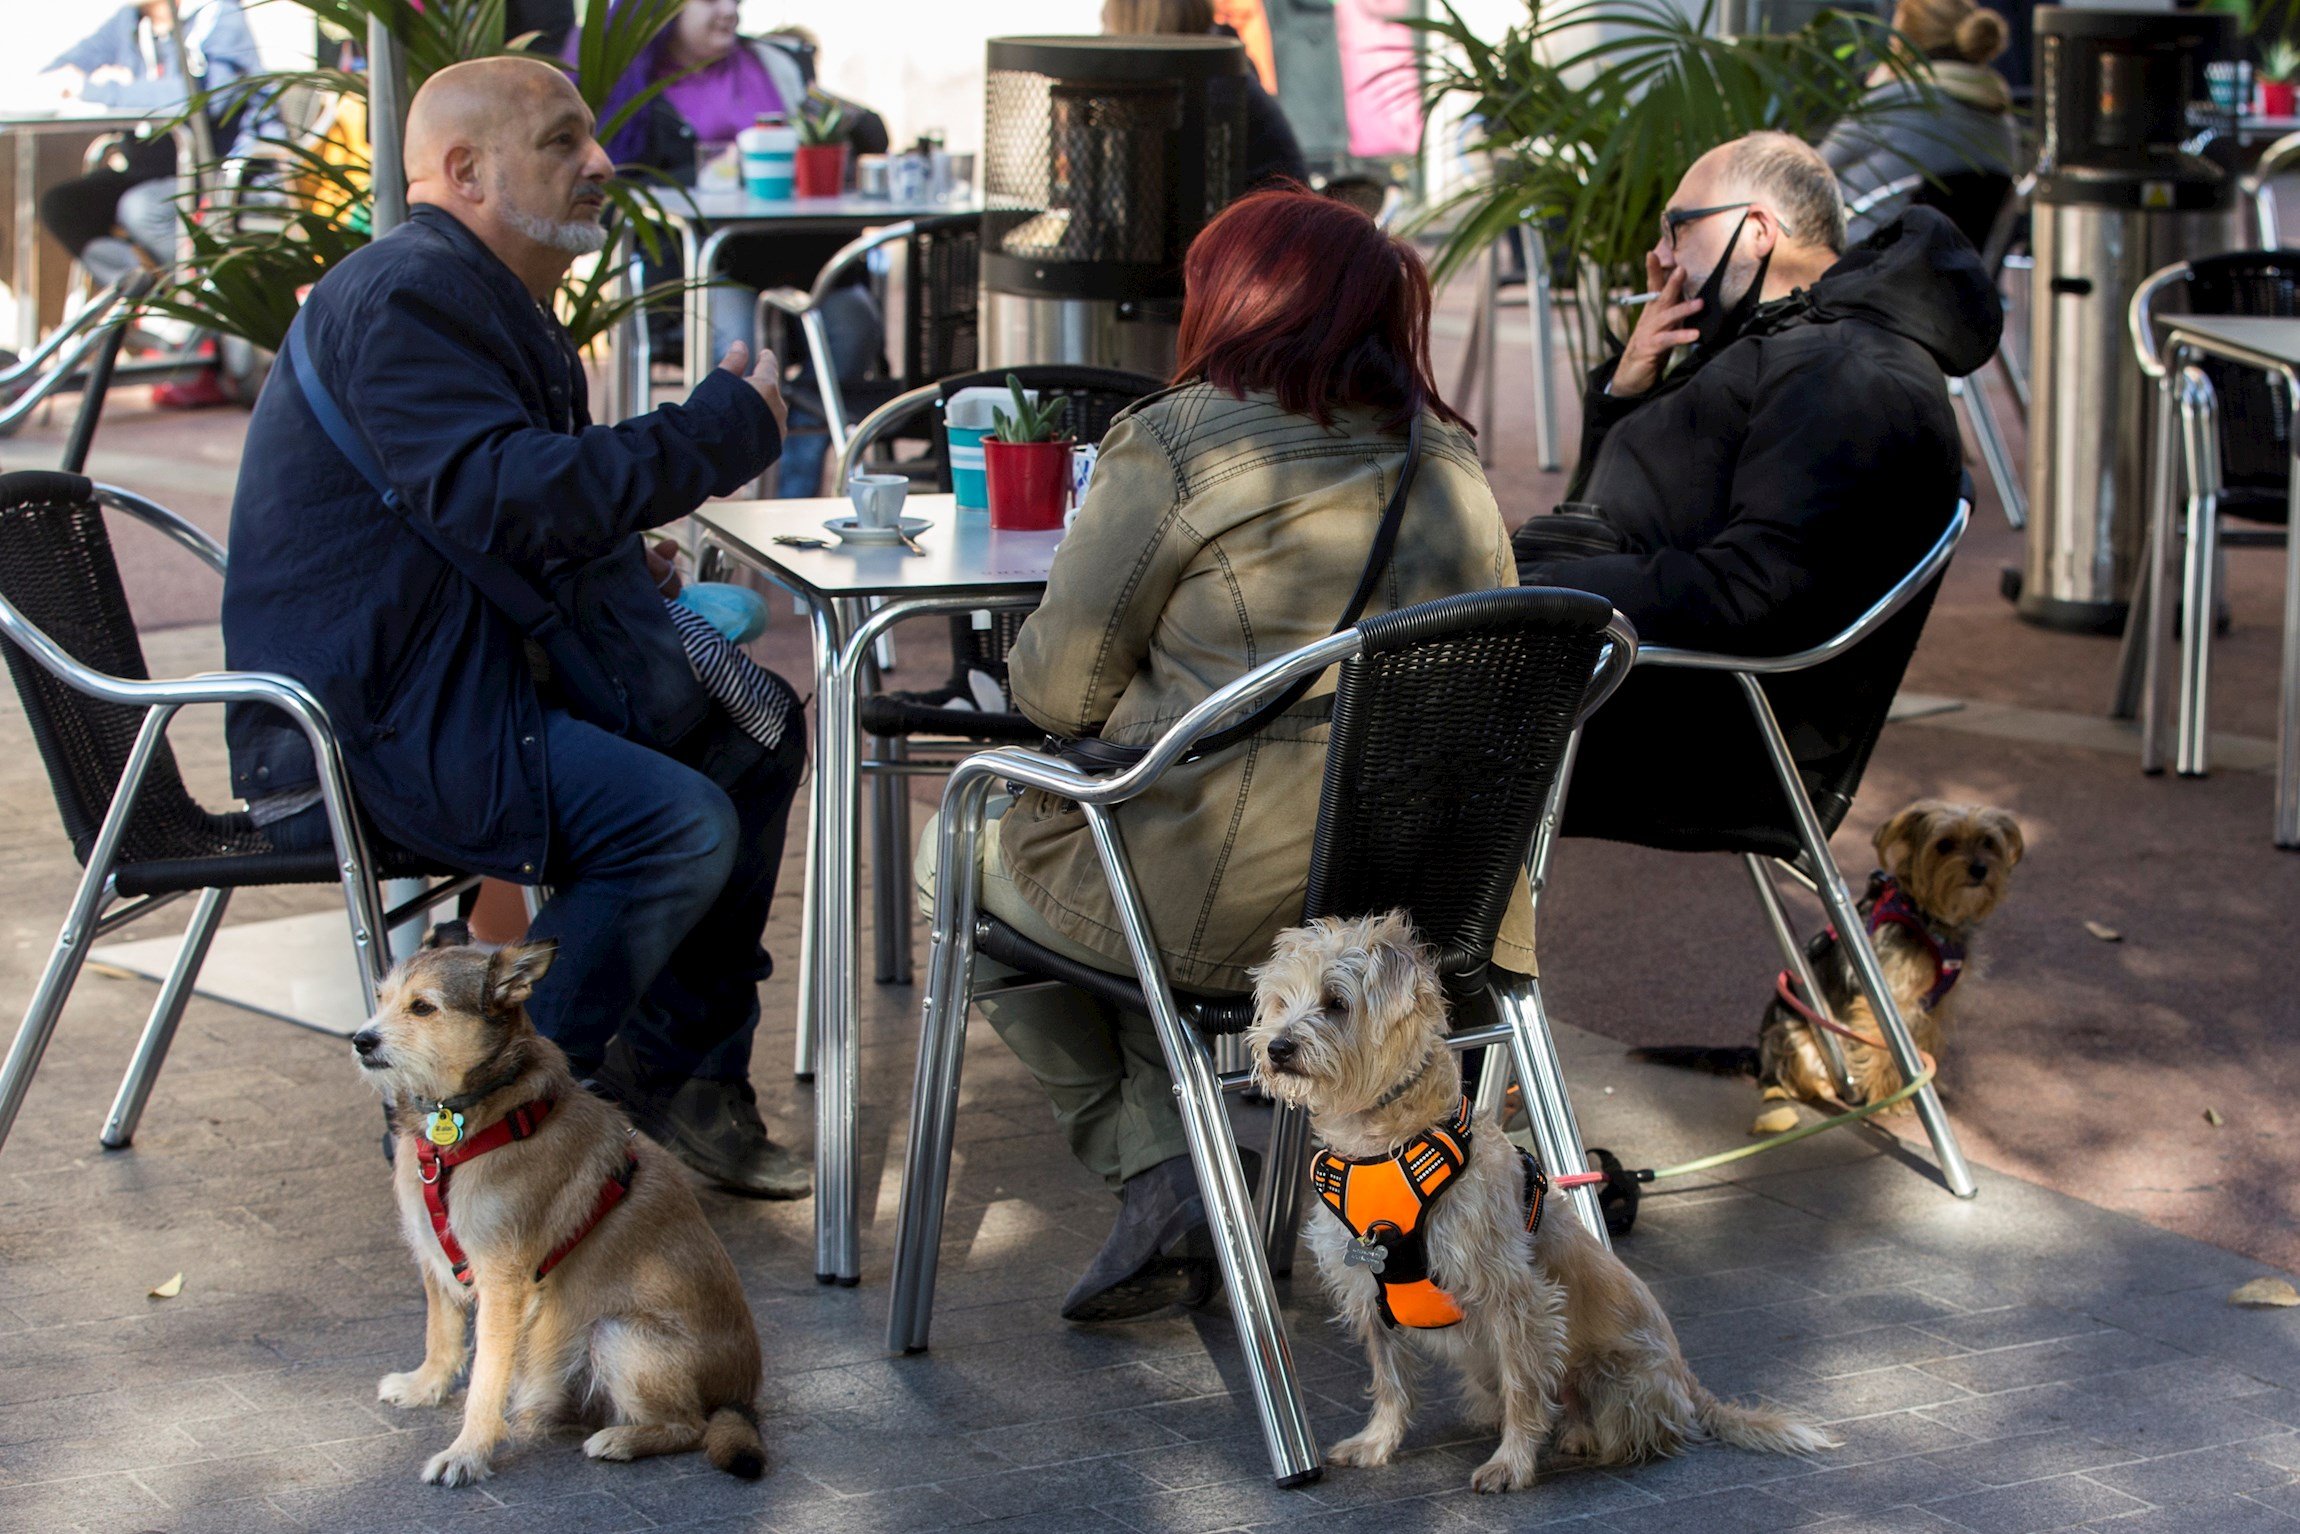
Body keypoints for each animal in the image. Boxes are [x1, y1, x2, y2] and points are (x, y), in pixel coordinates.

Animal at [349, 938, 763, 1490]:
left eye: (422, 1008)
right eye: (382, 998)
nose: (361, 1040)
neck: (474, 1120)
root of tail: (742, 1397)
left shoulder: (503, 1282)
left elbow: (486, 1378)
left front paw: (467, 1451)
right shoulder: (434, 1258)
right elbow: (441, 1332)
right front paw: (425, 1385)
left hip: (617, 1335)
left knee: (691, 1426)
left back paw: (621, 1440)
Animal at [1251, 910, 1821, 1490]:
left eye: (1336, 1003)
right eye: (1281, 1001)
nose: (1277, 1047)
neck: (1379, 1148)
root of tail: (1687, 1379)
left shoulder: (1513, 1296)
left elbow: (1524, 1388)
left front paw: (1512, 1463)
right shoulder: (1369, 1293)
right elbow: (1391, 1383)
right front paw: (1378, 1442)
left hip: (1614, 1379)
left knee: (1612, 1423)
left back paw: (1582, 1437)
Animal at [1757, 804, 2014, 1117]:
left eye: (1988, 842)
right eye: (1944, 844)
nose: (1979, 868)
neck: (1929, 918)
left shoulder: (1935, 1006)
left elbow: (1927, 1041)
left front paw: (1928, 1086)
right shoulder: (1884, 1001)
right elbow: (1882, 1047)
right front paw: (1889, 1098)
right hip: (1797, 1035)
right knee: (1796, 1080)